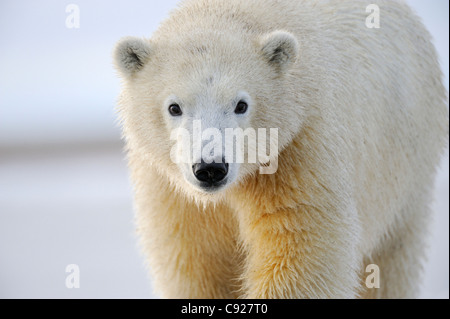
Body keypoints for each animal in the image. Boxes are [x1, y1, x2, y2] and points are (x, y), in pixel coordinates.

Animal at [113, 0, 446, 300]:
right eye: (174, 107)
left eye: (241, 104)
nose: (210, 168)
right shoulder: (170, 190)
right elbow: (196, 262)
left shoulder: (299, 147)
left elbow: (302, 249)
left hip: (405, 171)